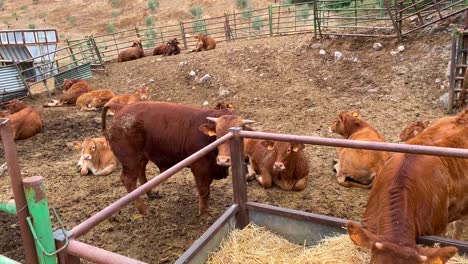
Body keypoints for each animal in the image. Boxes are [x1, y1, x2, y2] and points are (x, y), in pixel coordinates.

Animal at [103, 101, 254, 217]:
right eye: (217, 134)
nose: (223, 160)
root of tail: (121, 107)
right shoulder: (200, 167)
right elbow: (203, 190)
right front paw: (204, 213)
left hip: (141, 157)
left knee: (141, 173)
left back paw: (151, 194)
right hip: (130, 160)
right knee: (129, 181)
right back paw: (144, 210)